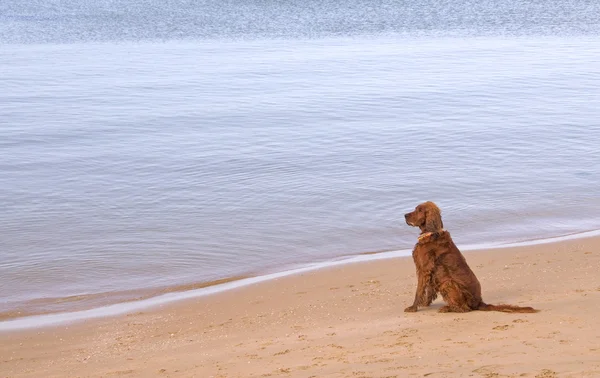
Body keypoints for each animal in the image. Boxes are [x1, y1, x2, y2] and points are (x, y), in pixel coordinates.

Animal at [404, 202, 540, 314]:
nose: (405, 215)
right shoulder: (430, 271)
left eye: (419, 210)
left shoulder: (424, 269)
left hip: (449, 282)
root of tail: (479, 302)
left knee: (465, 308)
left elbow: (419, 290)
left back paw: (448, 308)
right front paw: (425, 304)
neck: (432, 234)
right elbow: (428, 290)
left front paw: (413, 307)